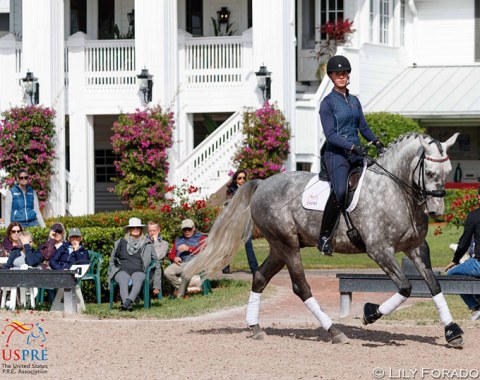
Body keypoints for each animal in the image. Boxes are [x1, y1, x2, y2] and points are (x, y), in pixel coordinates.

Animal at [184, 133, 462, 348]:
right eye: (429, 172)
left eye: (448, 171)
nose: (437, 211)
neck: (396, 191)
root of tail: (262, 184)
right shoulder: (379, 250)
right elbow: (405, 287)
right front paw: (369, 314)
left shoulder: (417, 248)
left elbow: (434, 285)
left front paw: (452, 332)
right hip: (288, 246)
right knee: (301, 287)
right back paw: (334, 332)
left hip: (279, 247)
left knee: (260, 277)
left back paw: (255, 327)